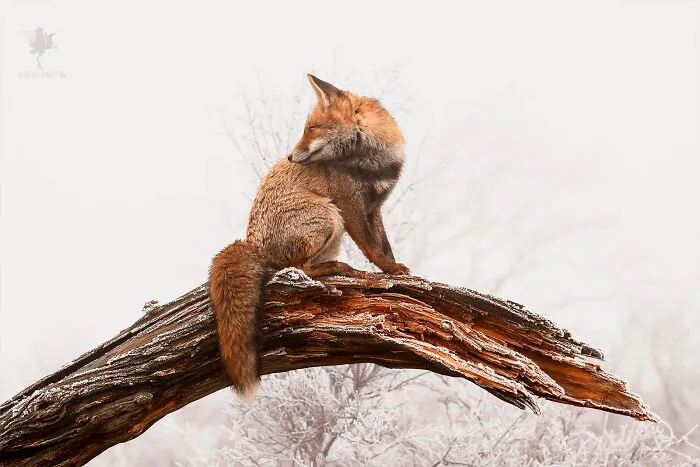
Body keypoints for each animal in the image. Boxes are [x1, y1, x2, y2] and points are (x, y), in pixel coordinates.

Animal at [209, 74, 409, 401]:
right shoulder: (349, 205)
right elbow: (372, 248)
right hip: (328, 216)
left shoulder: (374, 207)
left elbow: (384, 246)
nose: (290, 156)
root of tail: (251, 243)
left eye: (311, 129)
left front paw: (396, 269)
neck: (370, 162)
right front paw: (388, 271)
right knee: (300, 268)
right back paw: (342, 270)